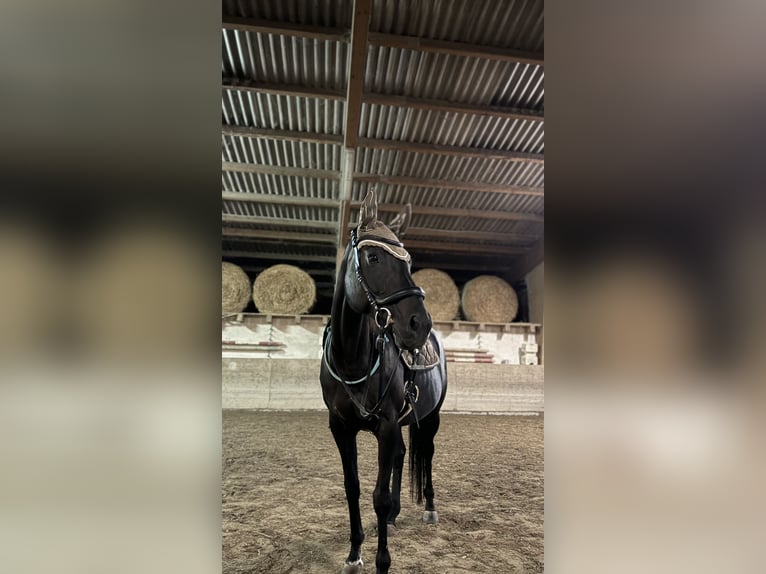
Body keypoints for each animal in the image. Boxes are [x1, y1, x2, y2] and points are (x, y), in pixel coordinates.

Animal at [320, 190, 448, 574]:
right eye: (373, 256)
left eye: (409, 260)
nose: (418, 324)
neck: (352, 357)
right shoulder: (340, 427)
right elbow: (353, 487)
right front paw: (354, 553)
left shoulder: (387, 426)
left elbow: (377, 496)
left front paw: (382, 561)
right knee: (403, 455)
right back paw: (392, 518)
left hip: (431, 418)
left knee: (427, 454)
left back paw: (429, 508)